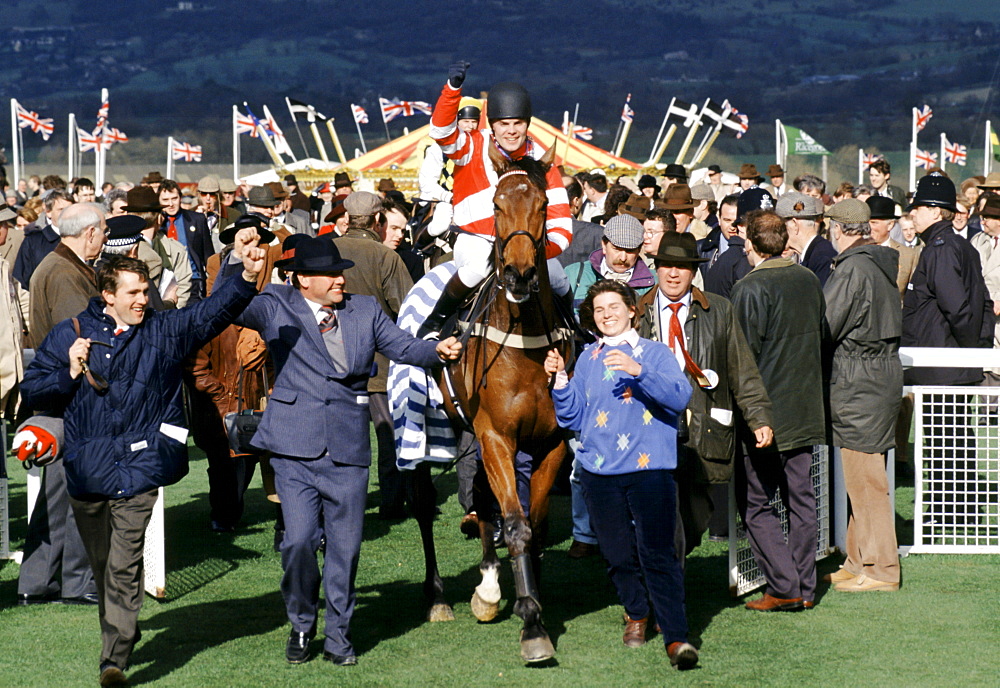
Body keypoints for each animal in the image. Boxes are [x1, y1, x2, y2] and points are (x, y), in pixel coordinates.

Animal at [412, 140, 576, 660]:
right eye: (498, 205)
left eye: (543, 205)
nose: (520, 275)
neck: (524, 345)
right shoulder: (497, 436)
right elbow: (518, 524)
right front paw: (532, 623)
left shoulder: (550, 442)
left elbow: (534, 525)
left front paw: (528, 598)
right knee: (425, 503)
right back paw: (438, 597)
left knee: (482, 500)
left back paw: (486, 586)